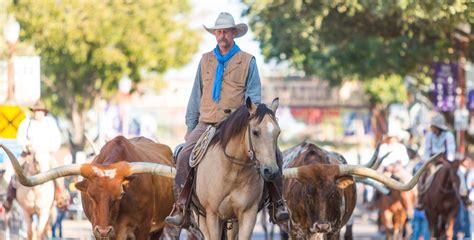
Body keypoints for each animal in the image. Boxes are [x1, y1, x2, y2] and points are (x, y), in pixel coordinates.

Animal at [192, 98, 282, 240]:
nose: (271, 171)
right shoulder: (213, 216)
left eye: (278, 133)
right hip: (201, 217)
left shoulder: (248, 214)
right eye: (255, 132)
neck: (233, 172)